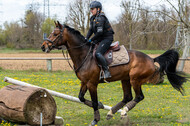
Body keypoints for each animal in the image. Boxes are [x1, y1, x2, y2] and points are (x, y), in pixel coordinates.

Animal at [40, 21, 188, 125]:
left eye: (55, 34)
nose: (43, 47)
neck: (84, 55)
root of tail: (151, 59)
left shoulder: (92, 83)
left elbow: (94, 102)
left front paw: (95, 119)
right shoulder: (84, 82)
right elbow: (81, 97)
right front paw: (101, 106)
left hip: (135, 79)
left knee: (138, 97)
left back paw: (123, 112)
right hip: (125, 79)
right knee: (127, 97)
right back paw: (111, 112)